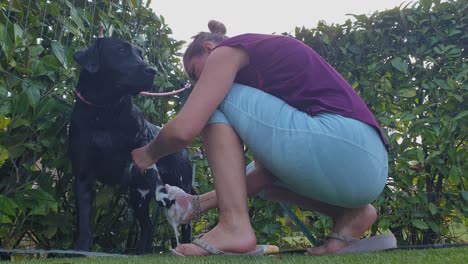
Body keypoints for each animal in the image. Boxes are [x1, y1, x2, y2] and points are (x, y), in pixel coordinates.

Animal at [68, 37, 193, 254]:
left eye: (140, 53)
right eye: (122, 51)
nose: (152, 70)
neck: (104, 112)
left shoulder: (142, 144)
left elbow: (152, 169)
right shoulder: (83, 177)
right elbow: (83, 223)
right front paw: (80, 251)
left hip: (180, 187)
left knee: (185, 225)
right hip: (138, 197)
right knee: (148, 227)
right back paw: (141, 252)